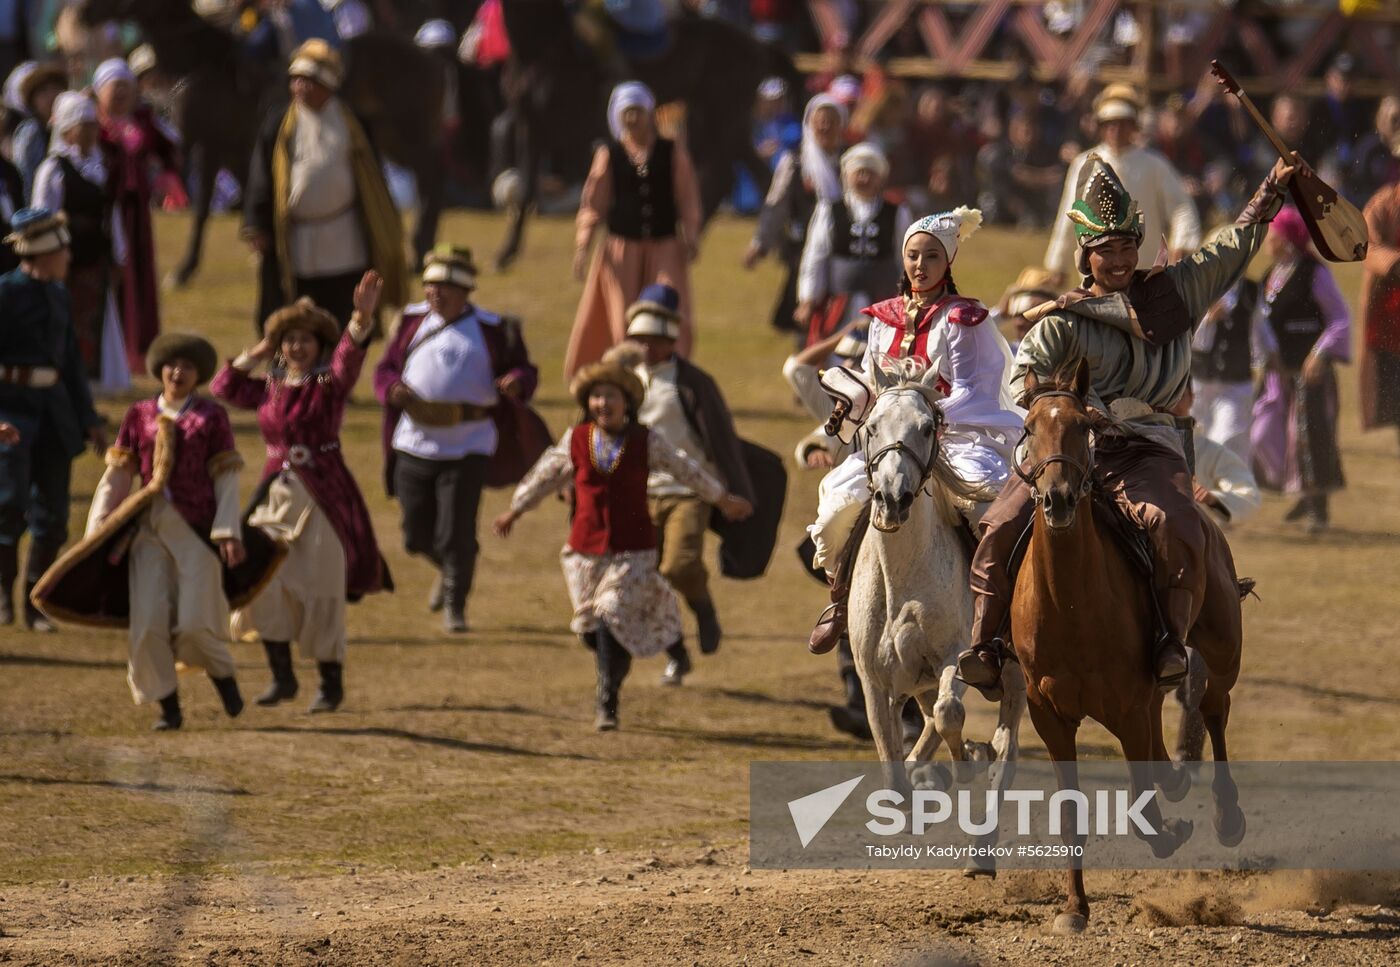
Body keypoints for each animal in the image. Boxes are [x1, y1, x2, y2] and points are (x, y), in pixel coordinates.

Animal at [840, 358, 1030, 873]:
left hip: (1013, 675)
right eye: (870, 426)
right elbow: (890, 758)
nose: (893, 498)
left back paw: (981, 848)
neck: (904, 579)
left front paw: (968, 760)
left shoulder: (956, 659)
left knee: (1006, 750)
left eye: (927, 427)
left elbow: (950, 714)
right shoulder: (874, 680)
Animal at [1008, 358, 1248, 934]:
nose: (1057, 498)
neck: (1071, 605)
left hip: (1221, 646)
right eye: (1030, 428)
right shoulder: (1049, 714)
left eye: (1083, 427)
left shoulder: (1129, 708)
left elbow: (1142, 802)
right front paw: (1073, 908)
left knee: (1214, 707)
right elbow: (1071, 812)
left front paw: (1172, 831)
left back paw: (1227, 815)